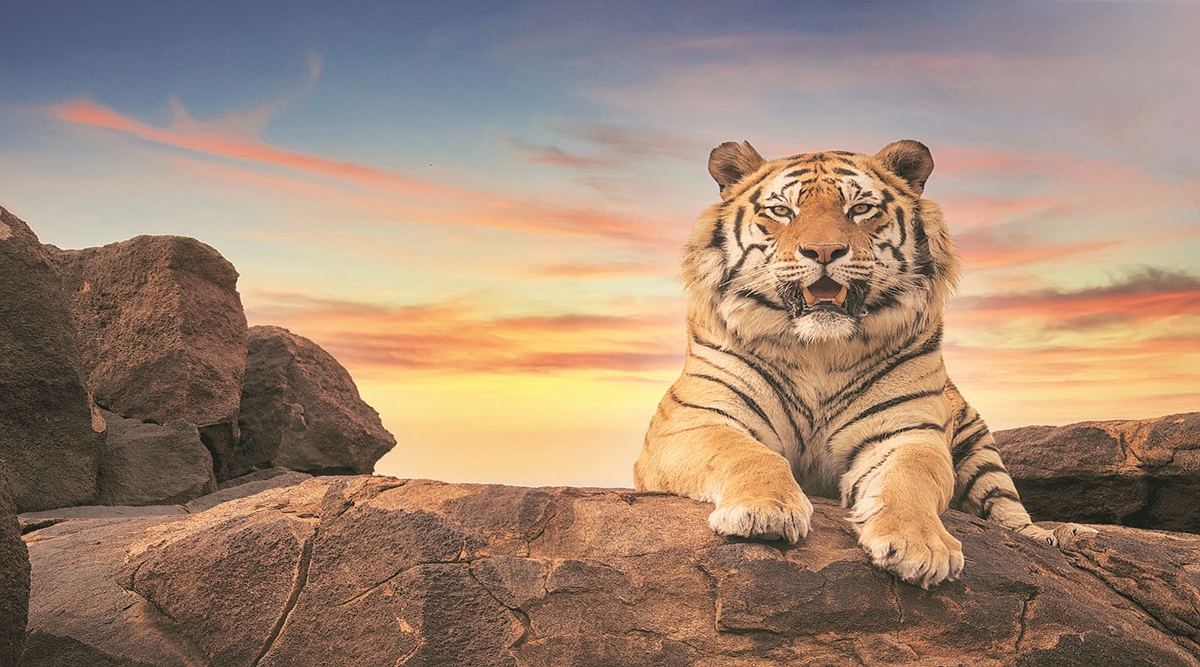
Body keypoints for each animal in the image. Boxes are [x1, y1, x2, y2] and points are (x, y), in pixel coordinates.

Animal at [634, 139, 1094, 588]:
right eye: (782, 211)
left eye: (860, 209)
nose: (823, 250)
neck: (817, 351)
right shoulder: (694, 420)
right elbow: (747, 454)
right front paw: (764, 511)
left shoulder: (908, 432)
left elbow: (910, 478)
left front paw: (920, 546)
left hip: (980, 448)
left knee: (1010, 513)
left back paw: (1060, 535)